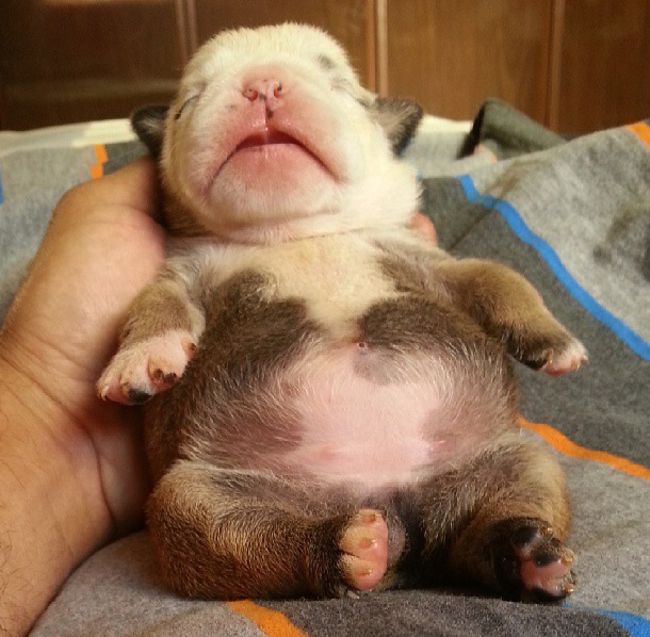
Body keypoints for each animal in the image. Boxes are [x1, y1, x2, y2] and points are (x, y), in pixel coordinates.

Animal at [98, 23, 584, 600]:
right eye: (188, 102)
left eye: (340, 87)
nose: (262, 83)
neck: (297, 231)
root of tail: (396, 518)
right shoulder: (185, 274)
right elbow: (155, 304)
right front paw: (142, 357)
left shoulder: (425, 260)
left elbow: (496, 276)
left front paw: (553, 340)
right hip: (190, 501)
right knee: (238, 536)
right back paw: (346, 548)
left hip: (516, 460)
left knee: (492, 520)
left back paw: (528, 552)